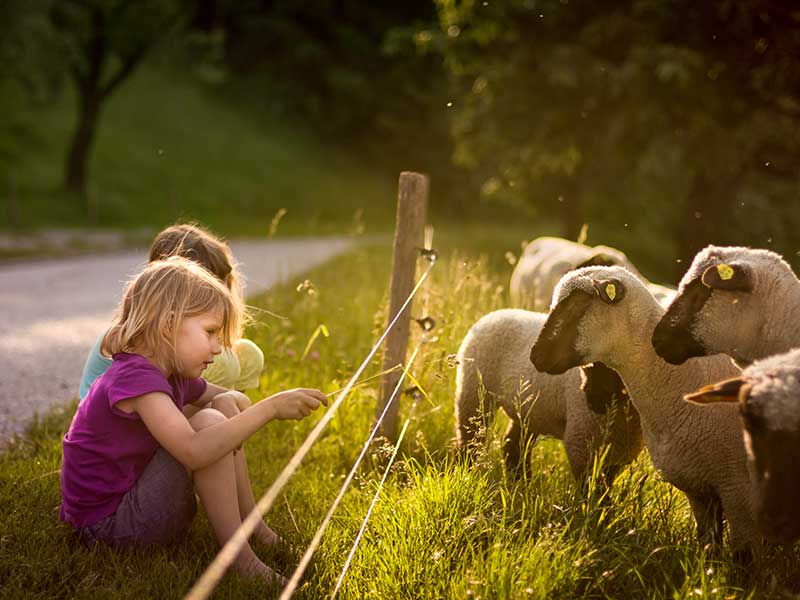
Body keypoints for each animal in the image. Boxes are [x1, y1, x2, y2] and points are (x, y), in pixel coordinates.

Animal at [456, 308, 644, 486]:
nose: (591, 399)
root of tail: (493, 314)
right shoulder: (580, 443)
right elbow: (591, 486)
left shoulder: (620, 450)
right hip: (474, 394)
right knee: (469, 440)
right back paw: (466, 473)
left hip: (529, 410)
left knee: (513, 444)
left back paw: (522, 483)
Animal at [528, 268, 760, 564]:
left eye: (578, 306)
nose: (536, 356)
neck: (679, 378)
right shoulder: (700, 487)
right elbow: (709, 547)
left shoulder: (739, 490)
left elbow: (744, 558)